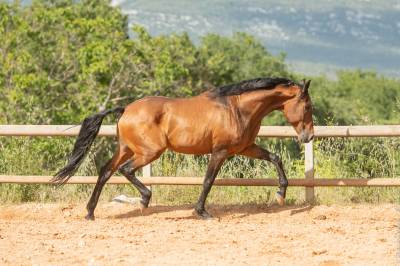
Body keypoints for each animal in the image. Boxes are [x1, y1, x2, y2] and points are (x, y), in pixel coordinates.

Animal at [54, 77, 316, 220]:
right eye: (307, 107)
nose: (309, 136)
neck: (236, 108)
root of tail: (125, 109)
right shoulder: (220, 152)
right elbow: (208, 181)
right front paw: (202, 212)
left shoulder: (245, 147)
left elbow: (275, 157)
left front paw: (280, 194)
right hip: (149, 152)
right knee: (125, 170)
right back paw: (144, 200)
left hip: (127, 149)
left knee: (106, 172)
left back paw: (90, 213)